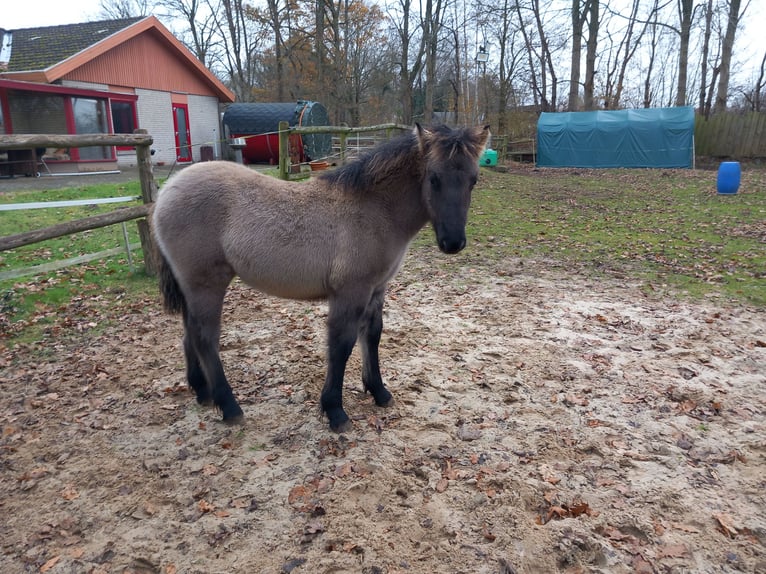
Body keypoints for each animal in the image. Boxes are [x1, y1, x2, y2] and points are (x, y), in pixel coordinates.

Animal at [152, 123, 490, 432]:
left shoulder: (376, 289)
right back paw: (229, 406)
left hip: (192, 287)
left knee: (189, 334)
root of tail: (166, 192)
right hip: (206, 284)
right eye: (433, 178)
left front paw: (379, 392)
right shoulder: (350, 292)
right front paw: (335, 411)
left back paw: (203, 391)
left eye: (473, 180)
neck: (373, 210)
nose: (453, 243)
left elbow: (373, 336)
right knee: (204, 337)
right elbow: (341, 346)